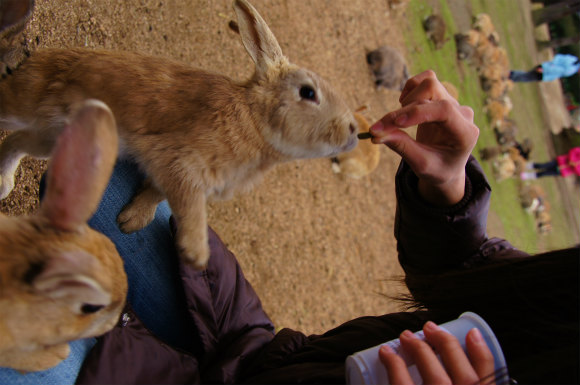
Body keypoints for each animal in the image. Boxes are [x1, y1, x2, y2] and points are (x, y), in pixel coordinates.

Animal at [0, 0, 360, 268]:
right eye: (308, 93)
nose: (354, 131)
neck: (254, 123)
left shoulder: (171, 173)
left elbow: (157, 193)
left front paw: (132, 221)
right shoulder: (182, 163)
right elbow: (189, 205)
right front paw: (197, 254)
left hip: (50, 136)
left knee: (17, 143)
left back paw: (4, 184)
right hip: (26, 107)